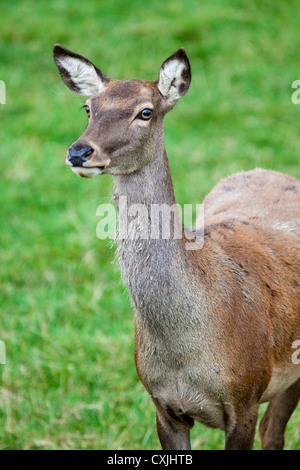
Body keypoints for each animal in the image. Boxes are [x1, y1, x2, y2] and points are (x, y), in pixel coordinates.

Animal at [54, 45, 300, 452]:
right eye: (88, 107)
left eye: (145, 112)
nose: (79, 151)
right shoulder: (162, 404)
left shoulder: (246, 396)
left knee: (274, 432)